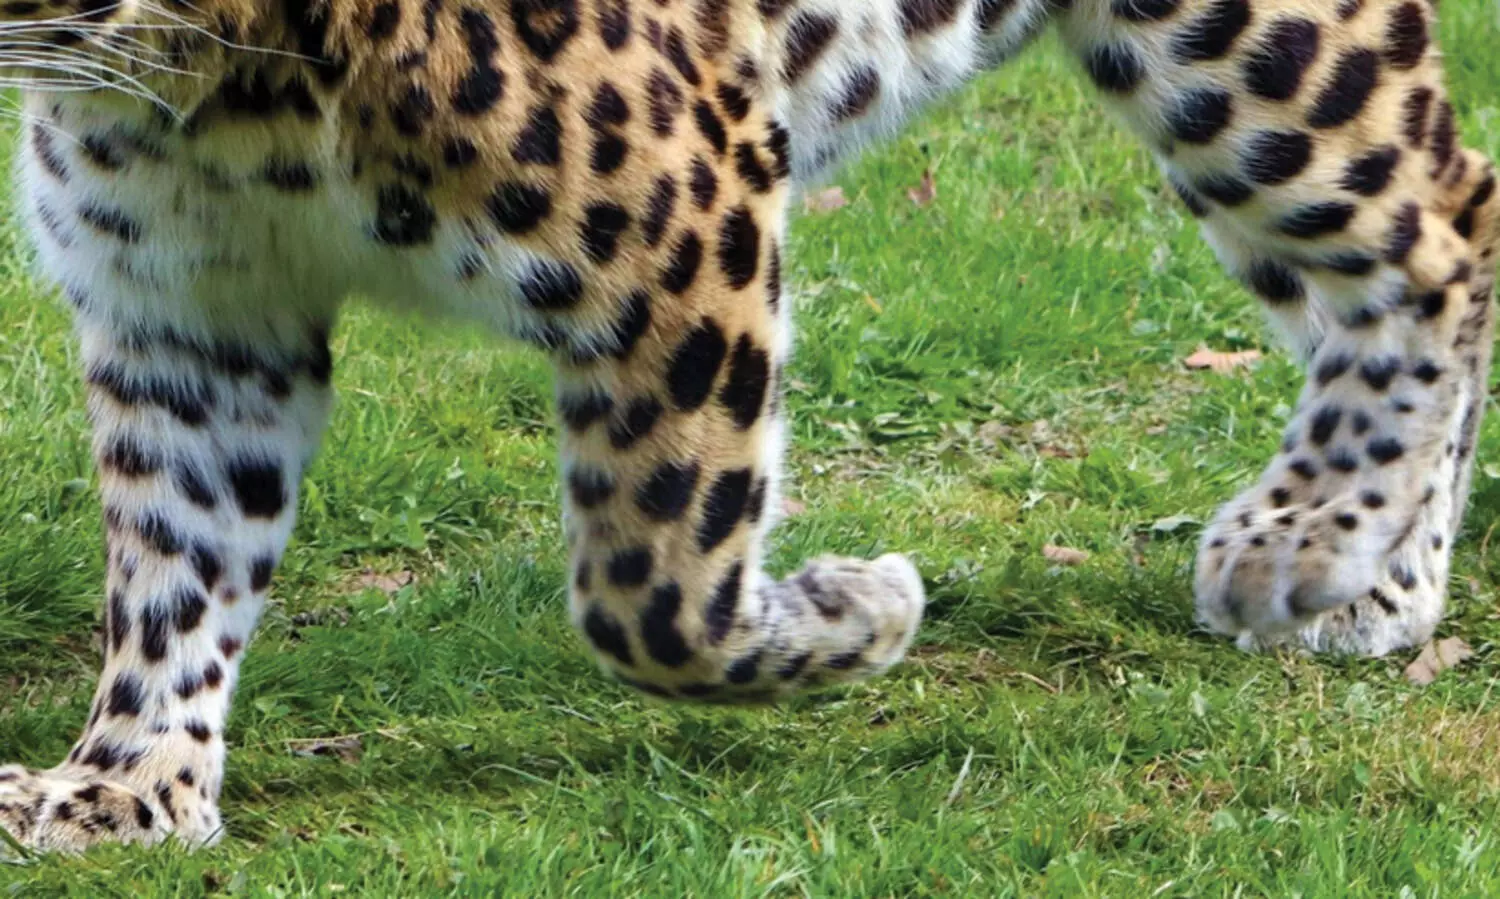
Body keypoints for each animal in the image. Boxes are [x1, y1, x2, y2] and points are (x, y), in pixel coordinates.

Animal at [0, 0, 1496, 854]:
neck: (205, 78)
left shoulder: (689, 215)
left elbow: (654, 585)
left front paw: (860, 610)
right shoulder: (190, 321)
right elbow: (177, 559)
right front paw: (130, 785)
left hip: (1242, 47)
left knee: (1443, 228)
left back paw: (1311, 540)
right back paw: (1387, 582)